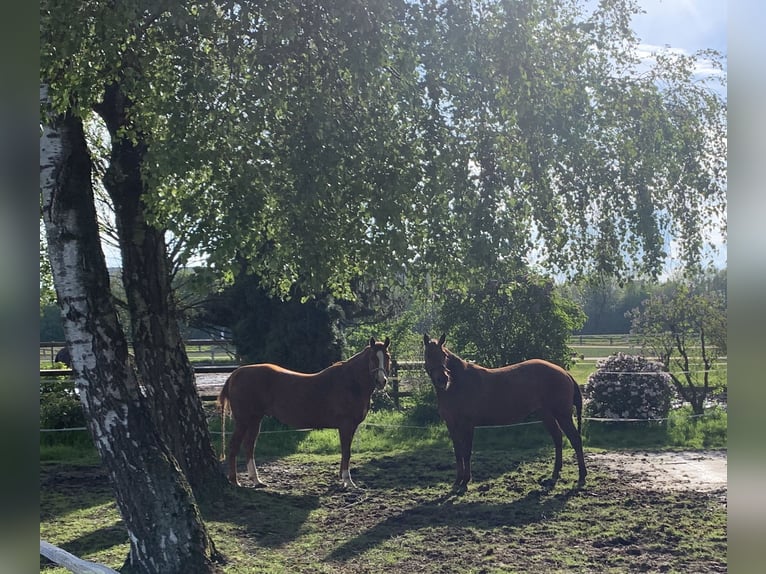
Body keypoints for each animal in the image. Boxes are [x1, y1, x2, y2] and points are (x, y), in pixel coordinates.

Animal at [220, 338, 390, 490]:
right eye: (373, 358)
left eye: (387, 357)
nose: (382, 381)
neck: (351, 383)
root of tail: (236, 374)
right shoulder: (346, 426)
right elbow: (346, 452)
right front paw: (348, 482)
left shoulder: (349, 427)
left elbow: (345, 452)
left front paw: (343, 480)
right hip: (243, 420)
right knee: (234, 446)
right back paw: (235, 481)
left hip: (255, 420)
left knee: (249, 446)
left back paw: (256, 481)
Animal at [426, 336, 588, 492]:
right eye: (429, 355)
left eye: (444, 355)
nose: (443, 379)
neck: (456, 385)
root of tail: (564, 373)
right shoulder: (451, 425)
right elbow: (458, 452)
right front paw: (457, 481)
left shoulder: (467, 425)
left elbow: (466, 452)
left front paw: (465, 482)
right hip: (546, 415)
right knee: (558, 438)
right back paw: (554, 475)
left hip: (562, 415)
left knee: (575, 439)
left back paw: (581, 477)